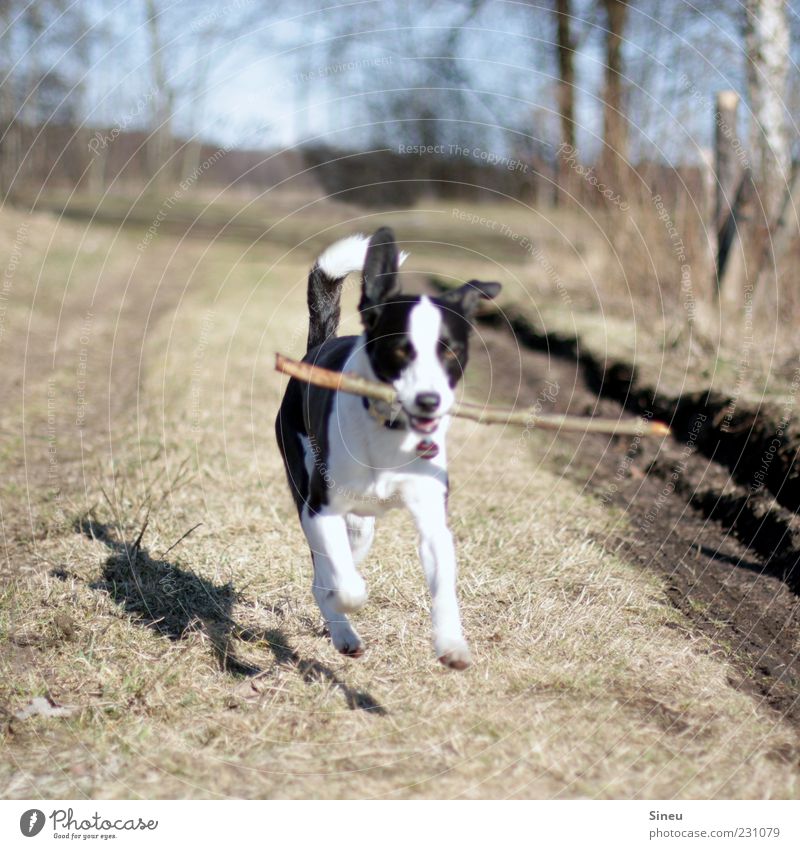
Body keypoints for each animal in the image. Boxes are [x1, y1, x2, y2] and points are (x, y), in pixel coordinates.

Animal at [276, 227, 500, 668]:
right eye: (401, 349)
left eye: (450, 350)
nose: (429, 400)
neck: (389, 429)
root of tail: (315, 351)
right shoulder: (320, 510)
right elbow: (344, 584)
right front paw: (346, 599)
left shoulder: (432, 517)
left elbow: (443, 582)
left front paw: (451, 643)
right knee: (322, 575)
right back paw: (342, 631)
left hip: (362, 529)